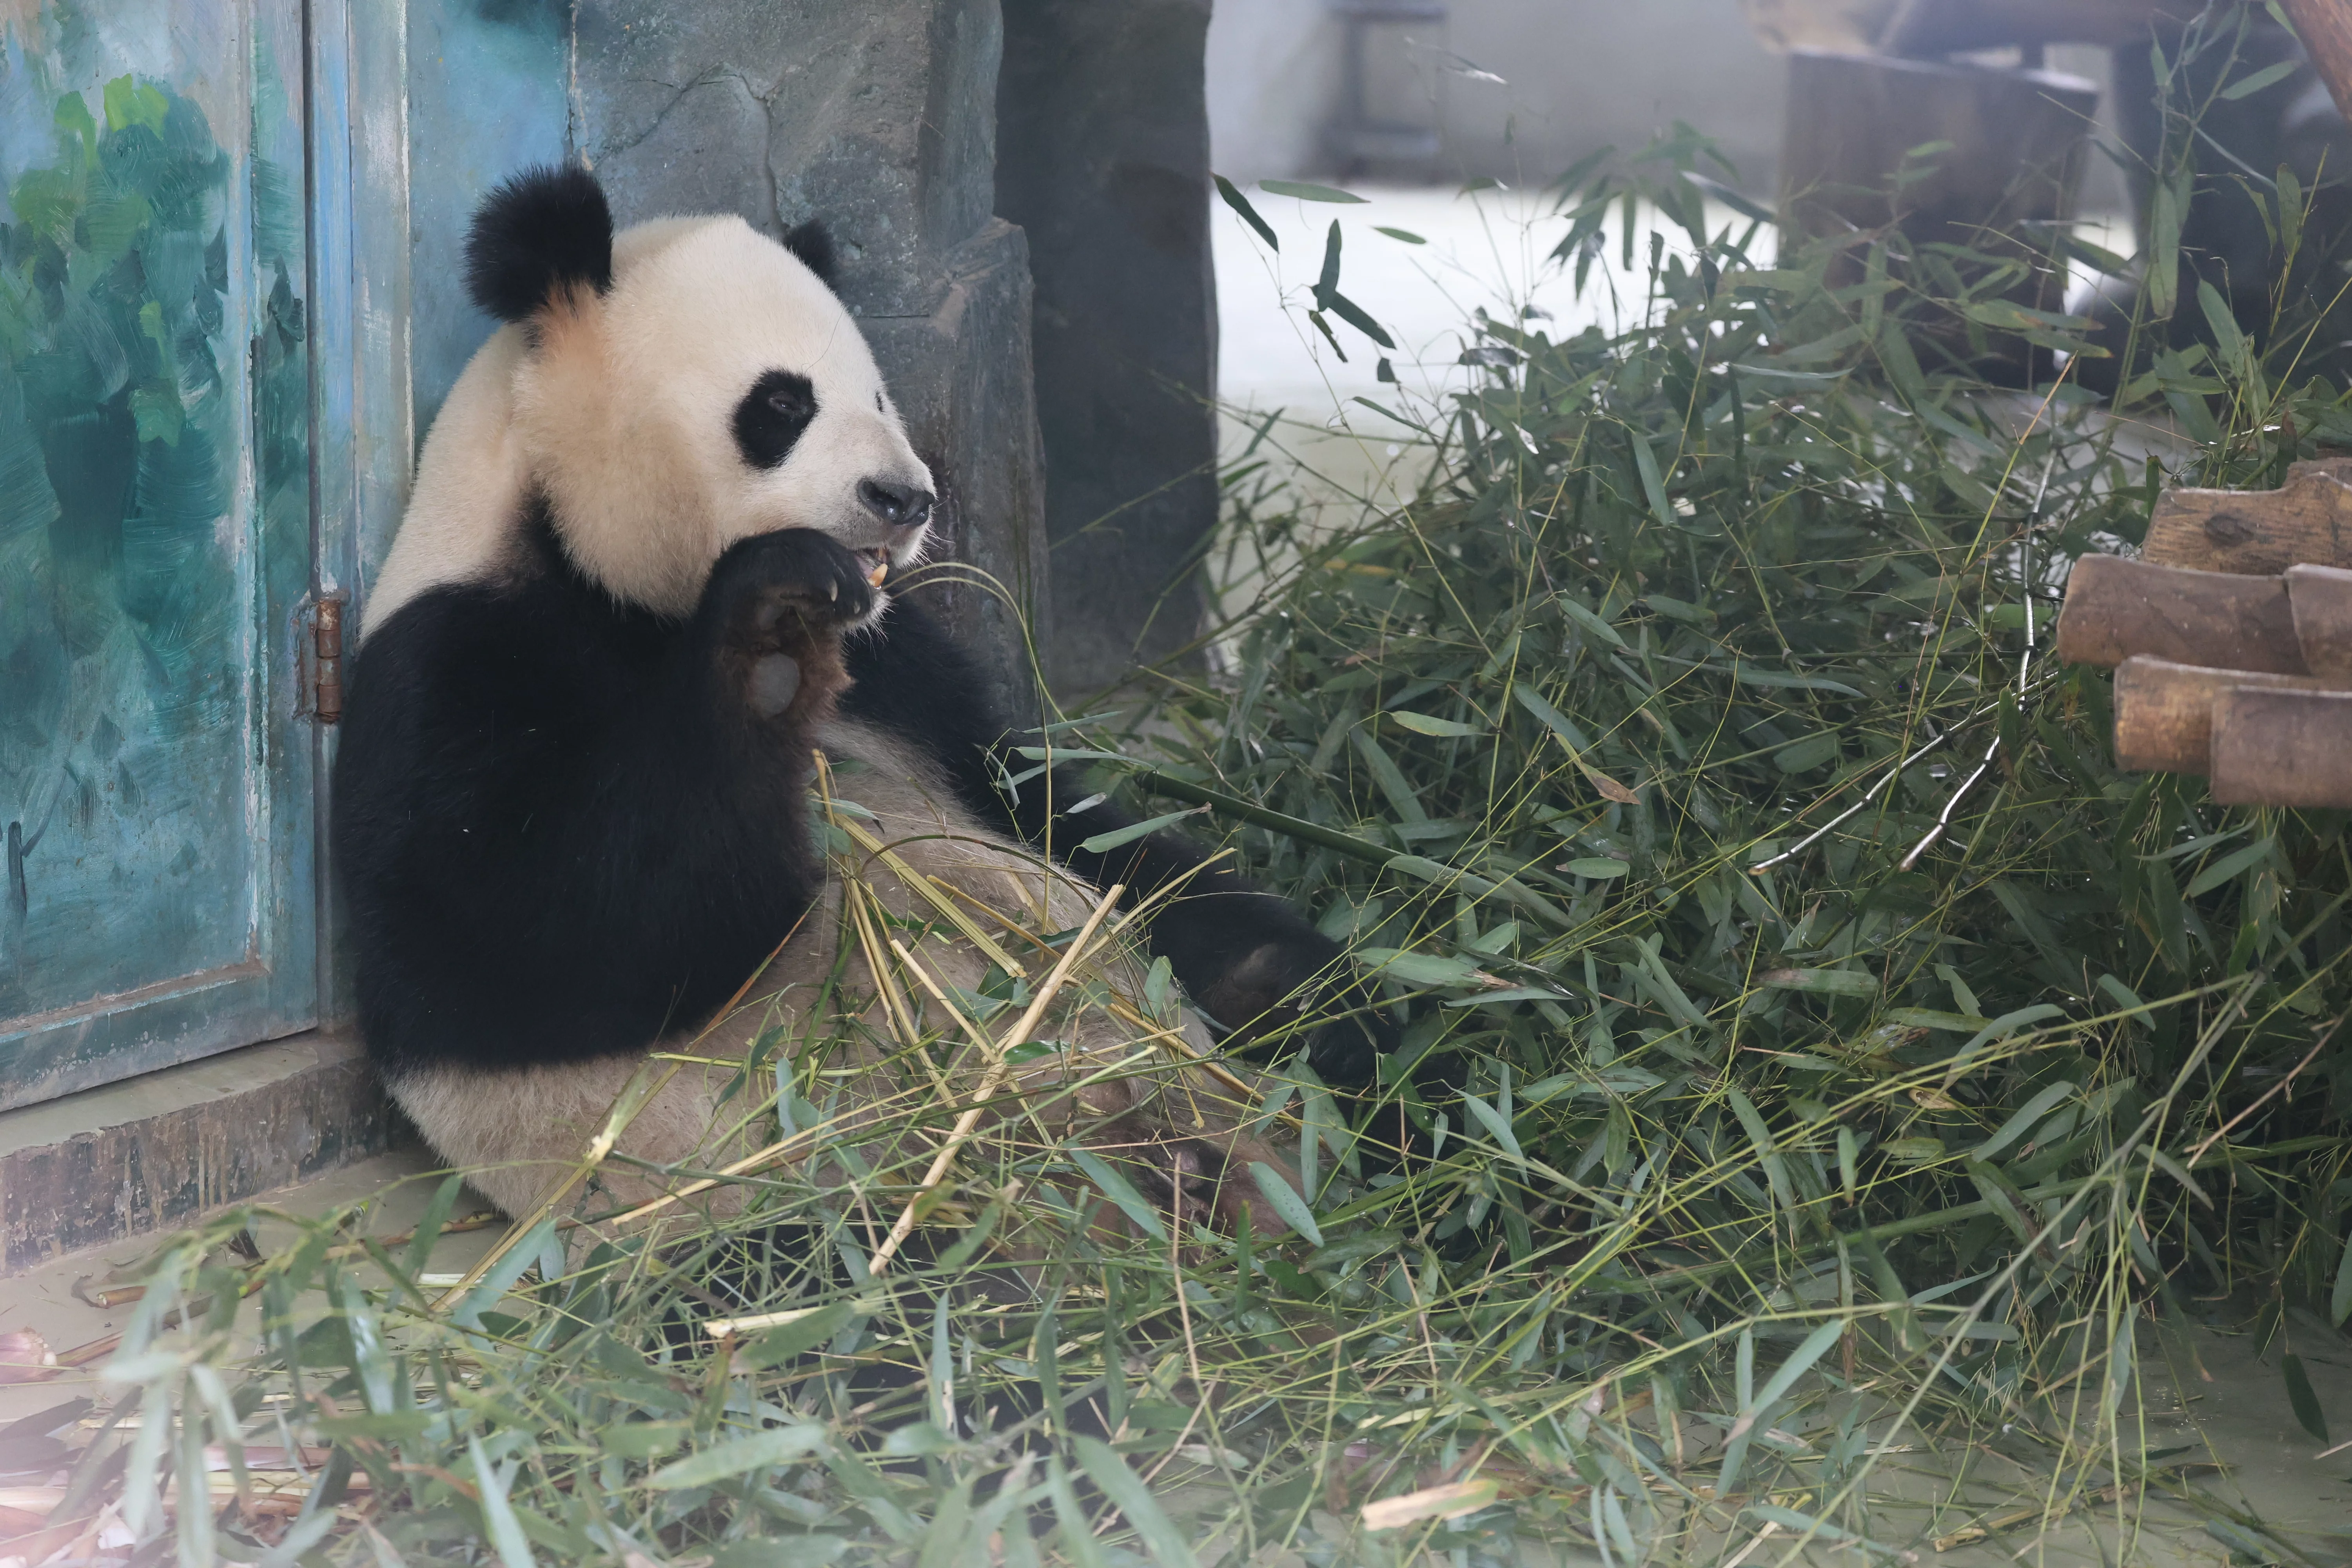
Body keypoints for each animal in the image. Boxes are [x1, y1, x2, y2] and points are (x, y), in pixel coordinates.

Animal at [331, 165, 1386, 1248]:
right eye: (783, 402)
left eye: (878, 393)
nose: (905, 497)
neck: (605, 577)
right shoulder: (454, 668)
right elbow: (537, 950)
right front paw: (768, 638)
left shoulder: (901, 672)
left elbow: (1054, 816)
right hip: (809, 1211)